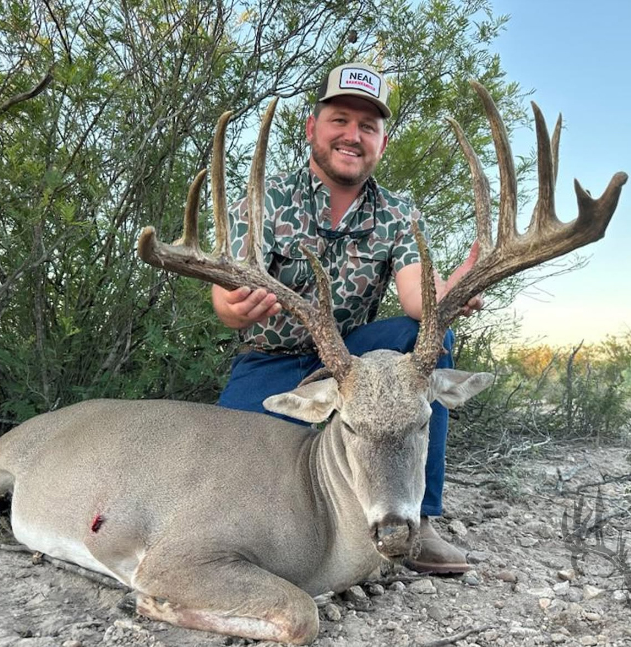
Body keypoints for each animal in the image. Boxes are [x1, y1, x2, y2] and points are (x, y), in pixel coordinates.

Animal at [0, 82, 626, 645]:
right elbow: (302, 611)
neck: (320, 519)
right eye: (346, 424)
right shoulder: (184, 546)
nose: (395, 532)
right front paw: (144, 601)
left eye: (426, 419)